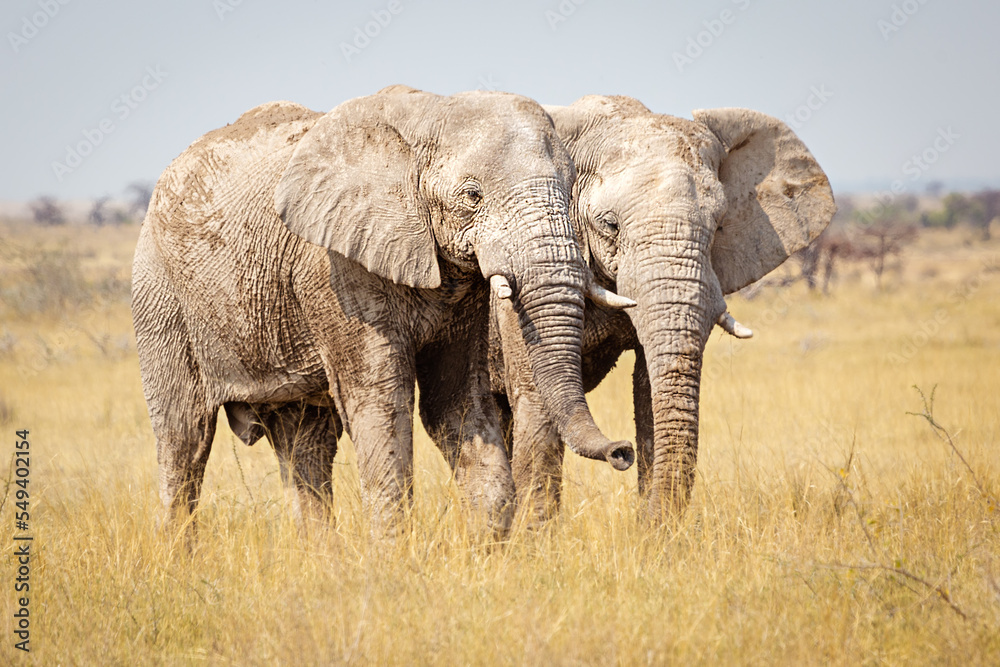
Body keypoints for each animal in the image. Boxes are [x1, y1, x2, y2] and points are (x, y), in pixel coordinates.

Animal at [131, 87, 636, 538]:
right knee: (184, 438)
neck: (431, 113)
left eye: (569, 190)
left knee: (305, 444)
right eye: (472, 196)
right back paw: (177, 558)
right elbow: (381, 401)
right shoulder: (335, 268)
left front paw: (487, 554)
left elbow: (454, 402)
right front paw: (392, 563)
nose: (623, 452)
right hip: (159, 295)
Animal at [490, 95, 835, 524]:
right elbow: (536, 399)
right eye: (610, 225)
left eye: (718, 226)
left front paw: (655, 532)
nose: (620, 453)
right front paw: (537, 538)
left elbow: (649, 394)